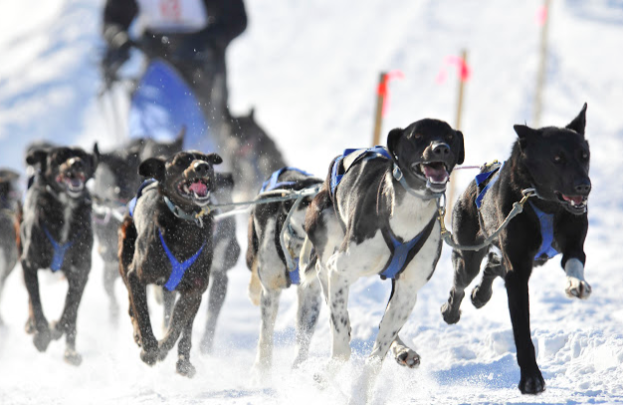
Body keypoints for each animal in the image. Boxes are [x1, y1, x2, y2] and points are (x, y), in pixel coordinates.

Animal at [18, 144, 99, 362]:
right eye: (60, 156)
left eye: (82, 156)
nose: (76, 163)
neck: (66, 207)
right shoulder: (29, 263)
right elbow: (36, 302)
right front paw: (42, 334)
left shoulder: (80, 271)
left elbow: (70, 312)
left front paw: (55, 330)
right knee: (30, 299)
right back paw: (32, 326)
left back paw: (71, 351)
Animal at [118, 149, 223, 376]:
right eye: (181, 161)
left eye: (206, 159)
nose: (202, 166)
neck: (187, 223)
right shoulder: (136, 276)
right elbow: (142, 314)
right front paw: (149, 349)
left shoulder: (194, 290)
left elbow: (177, 327)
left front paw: (162, 350)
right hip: (125, 257)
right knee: (131, 307)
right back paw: (140, 337)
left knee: (186, 329)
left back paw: (184, 362)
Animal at [245, 166, 322, 374]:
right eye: (308, 202)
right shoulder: (271, 292)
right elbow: (265, 337)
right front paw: (262, 373)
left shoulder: (311, 292)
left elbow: (304, 337)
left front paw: (298, 368)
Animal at [304, 118, 466, 400]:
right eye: (417, 135)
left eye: (449, 136)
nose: (441, 149)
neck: (409, 212)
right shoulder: (340, 269)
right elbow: (341, 343)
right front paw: (330, 371)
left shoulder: (408, 290)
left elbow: (380, 348)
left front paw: (362, 388)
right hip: (326, 241)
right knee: (328, 288)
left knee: (386, 325)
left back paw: (402, 350)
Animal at [442, 103, 592, 392]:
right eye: (557, 158)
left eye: (584, 155)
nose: (585, 186)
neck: (546, 205)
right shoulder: (519, 271)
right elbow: (522, 330)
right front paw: (531, 378)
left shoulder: (572, 245)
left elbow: (575, 262)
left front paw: (576, 284)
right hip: (469, 253)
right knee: (461, 282)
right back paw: (452, 310)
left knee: (492, 266)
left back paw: (481, 293)